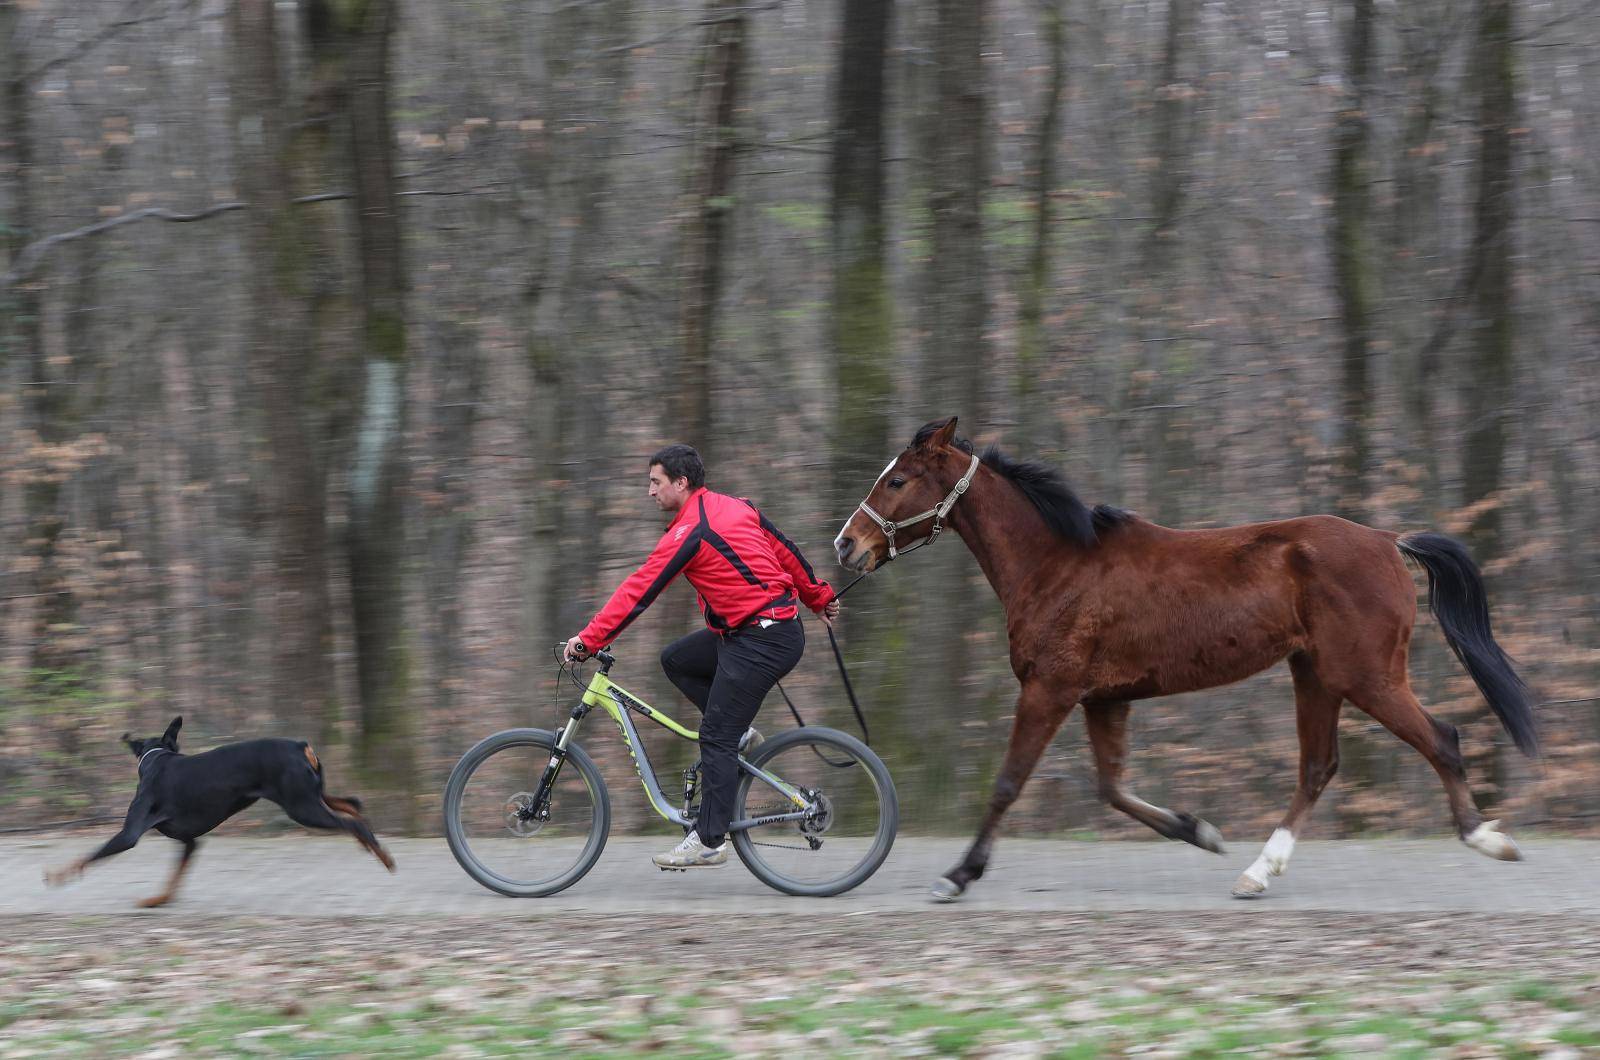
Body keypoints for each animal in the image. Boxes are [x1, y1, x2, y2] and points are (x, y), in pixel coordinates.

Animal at [43, 717, 393, 909]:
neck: (157, 758)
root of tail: (300, 745)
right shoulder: (189, 841)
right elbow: (174, 878)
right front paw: (158, 901)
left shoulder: (129, 834)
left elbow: (88, 855)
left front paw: (58, 875)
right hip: (311, 794)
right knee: (353, 806)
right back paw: (372, 843)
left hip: (302, 806)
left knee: (351, 823)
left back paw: (384, 858)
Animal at [832, 419, 1529, 903]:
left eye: (898, 480)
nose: (846, 545)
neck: (1058, 564)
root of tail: (1388, 540)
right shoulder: (1103, 698)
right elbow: (1112, 788)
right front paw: (1200, 830)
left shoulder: (1050, 689)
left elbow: (1009, 783)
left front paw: (958, 875)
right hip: (1315, 674)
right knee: (1317, 768)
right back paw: (1256, 872)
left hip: (1366, 676)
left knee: (1440, 739)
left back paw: (1489, 839)